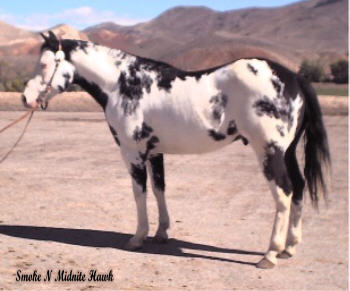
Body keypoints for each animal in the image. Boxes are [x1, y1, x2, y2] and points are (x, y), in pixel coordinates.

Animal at [22, 31, 330, 270]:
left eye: (45, 64)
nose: (26, 98)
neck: (123, 84)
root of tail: (293, 77)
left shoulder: (133, 153)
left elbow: (139, 193)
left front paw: (138, 238)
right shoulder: (155, 152)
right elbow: (159, 189)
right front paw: (161, 233)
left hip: (269, 152)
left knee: (284, 193)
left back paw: (270, 254)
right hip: (287, 152)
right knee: (299, 187)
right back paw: (289, 247)